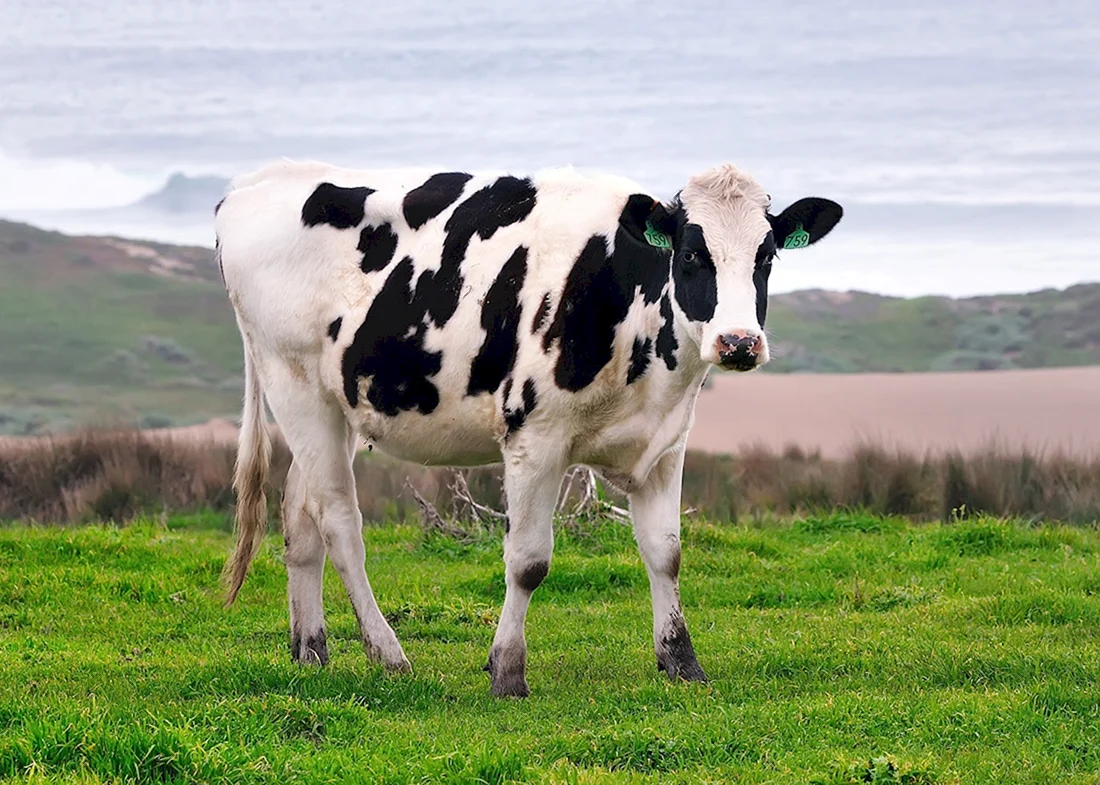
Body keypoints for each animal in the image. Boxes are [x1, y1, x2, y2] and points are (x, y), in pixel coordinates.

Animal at [215, 159, 842, 697]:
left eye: (766, 257)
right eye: (690, 255)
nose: (739, 342)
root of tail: (251, 184)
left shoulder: (664, 446)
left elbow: (666, 553)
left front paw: (682, 662)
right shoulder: (533, 438)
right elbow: (529, 560)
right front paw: (507, 672)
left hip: (334, 404)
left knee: (302, 518)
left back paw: (310, 651)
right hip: (294, 386)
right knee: (340, 525)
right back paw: (388, 654)